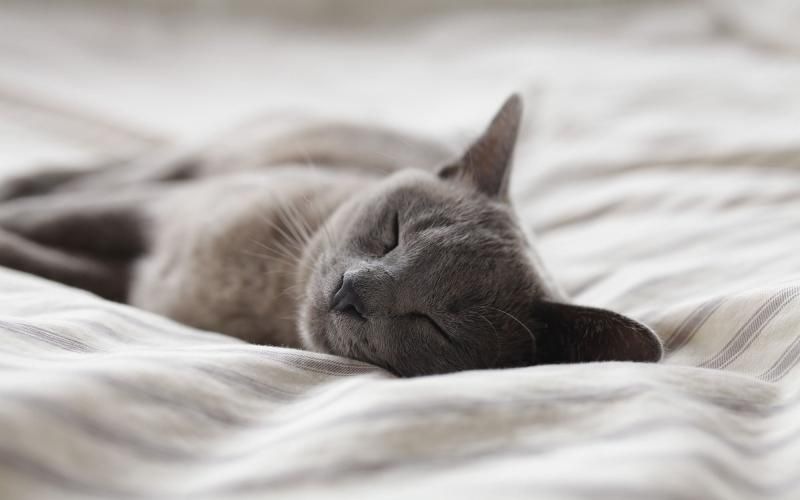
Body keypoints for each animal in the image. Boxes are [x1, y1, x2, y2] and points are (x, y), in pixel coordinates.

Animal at [0, 94, 664, 376]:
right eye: (392, 232)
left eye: (435, 325)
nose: (351, 292)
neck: (263, 294)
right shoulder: (154, 212)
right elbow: (53, 220)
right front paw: (13, 217)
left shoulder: (129, 280)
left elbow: (52, 261)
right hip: (192, 163)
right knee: (102, 173)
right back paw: (22, 178)